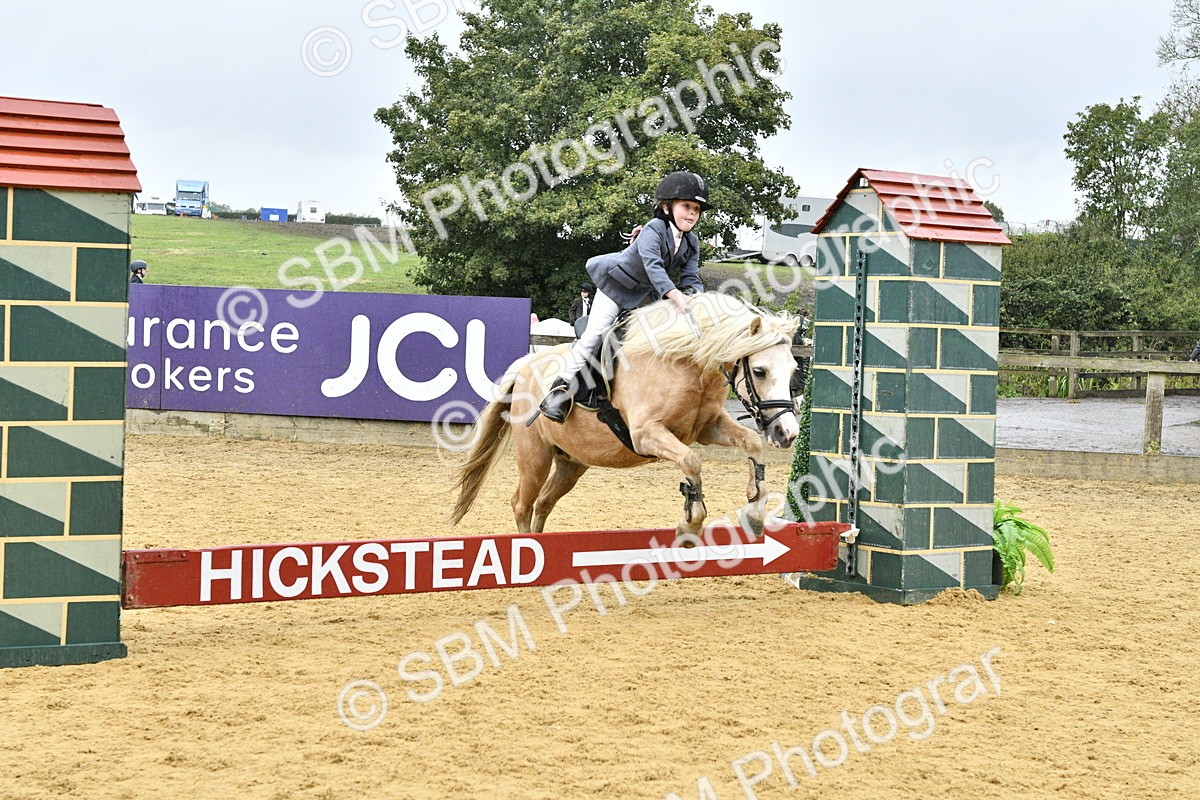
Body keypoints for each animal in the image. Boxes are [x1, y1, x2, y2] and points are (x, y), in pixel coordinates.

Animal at [448, 292, 801, 539]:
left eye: (794, 370)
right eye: (759, 371)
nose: (787, 433)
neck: (686, 364)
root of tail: (525, 366)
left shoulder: (708, 428)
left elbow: (751, 442)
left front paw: (754, 512)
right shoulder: (646, 434)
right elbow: (691, 462)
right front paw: (690, 523)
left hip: (571, 462)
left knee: (544, 502)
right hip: (535, 455)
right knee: (522, 503)